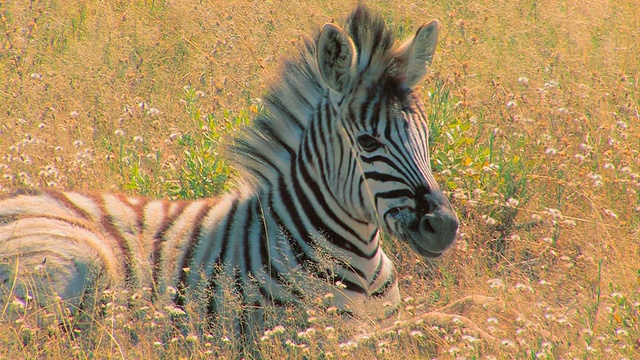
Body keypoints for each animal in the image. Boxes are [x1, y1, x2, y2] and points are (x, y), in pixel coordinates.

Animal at [0, 4, 458, 338]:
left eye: (427, 135)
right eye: (368, 143)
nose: (445, 226)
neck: (360, 252)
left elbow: (454, 315)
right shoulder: (313, 336)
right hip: (77, 260)